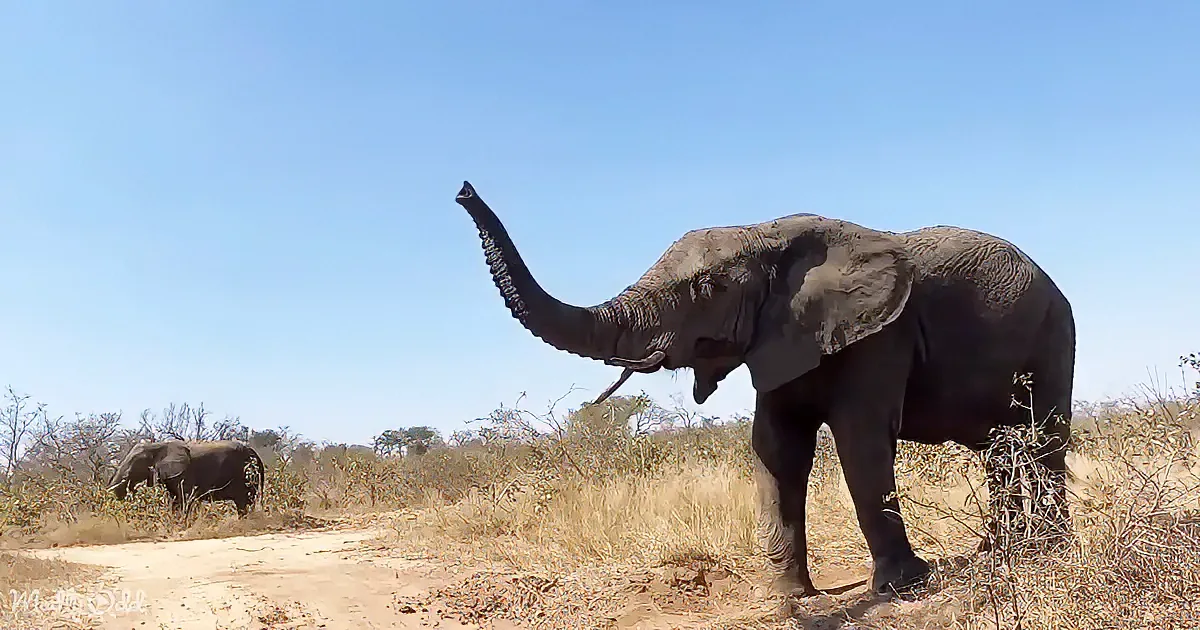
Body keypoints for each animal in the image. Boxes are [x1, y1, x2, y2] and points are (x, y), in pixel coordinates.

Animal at [107, 439, 265, 517]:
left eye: (134, 466)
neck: (156, 446)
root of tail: (256, 454)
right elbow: (175, 500)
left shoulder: (184, 473)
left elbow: (184, 499)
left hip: (247, 475)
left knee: (244, 502)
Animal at [450, 180, 1076, 597]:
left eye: (707, 288)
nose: (462, 189)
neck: (766, 233)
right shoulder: (779, 338)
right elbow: (776, 446)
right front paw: (789, 597)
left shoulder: (881, 334)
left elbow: (861, 442)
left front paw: (903, 588)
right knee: (1001, 452)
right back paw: (998, 553)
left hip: (1055, 336)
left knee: (1045, 442)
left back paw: (1047, 553)